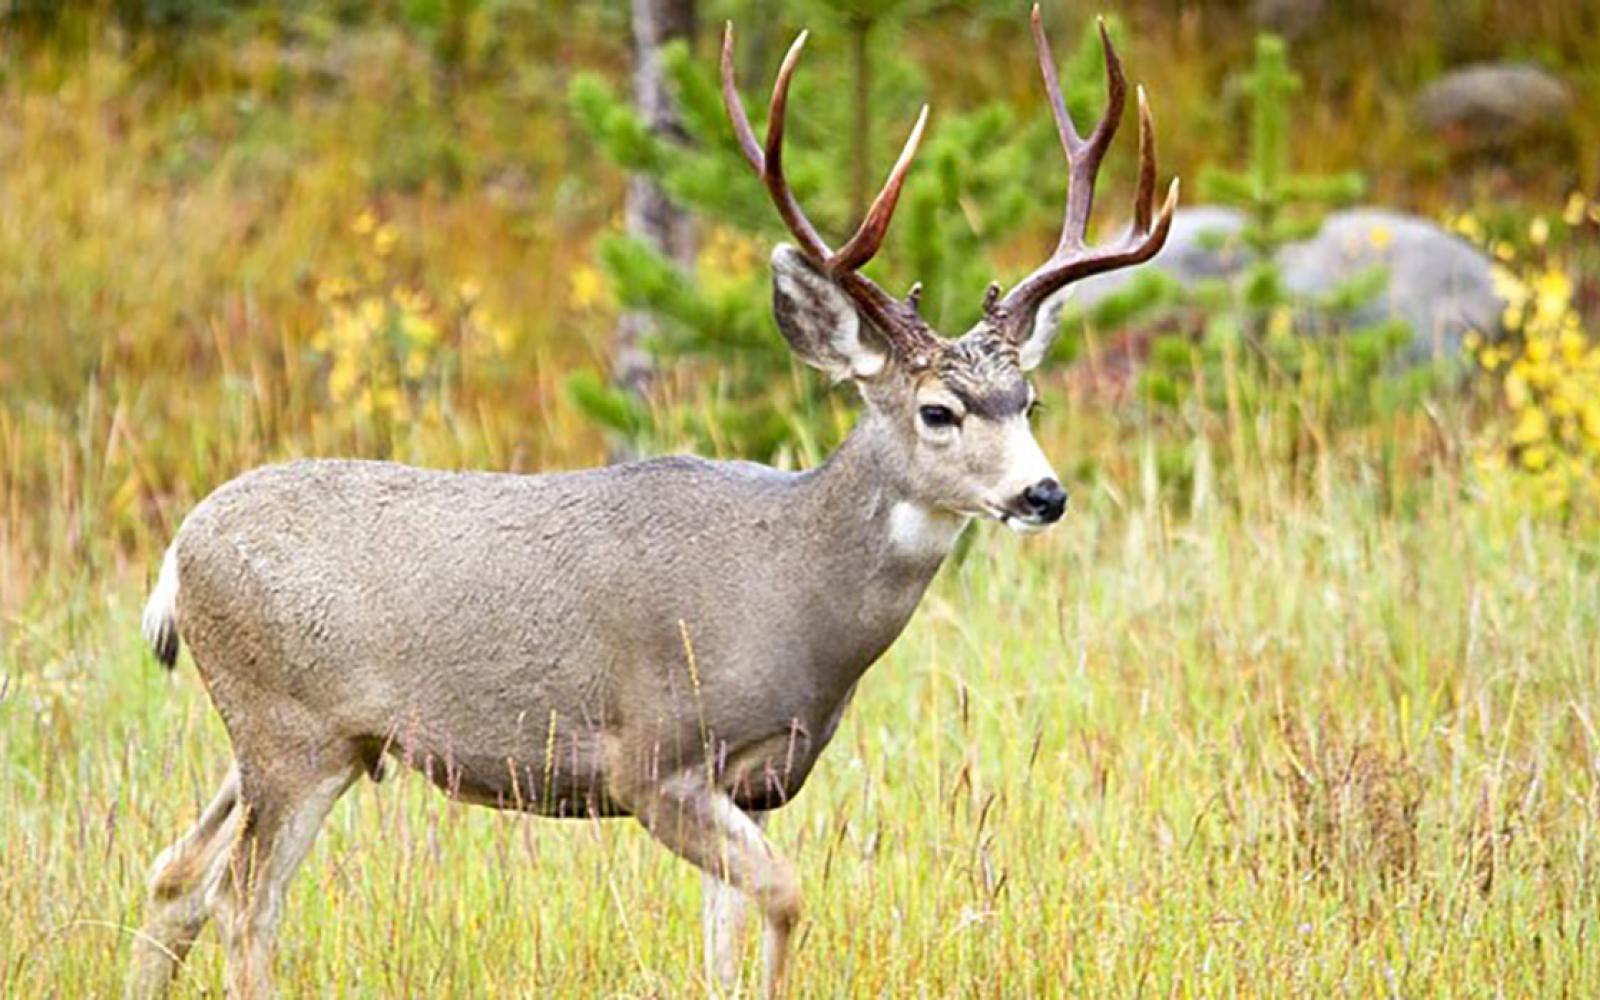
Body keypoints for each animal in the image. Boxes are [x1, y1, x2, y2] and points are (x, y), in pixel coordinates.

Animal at [128, 8, 1175, 998]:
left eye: (1029, 401)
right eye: (938, 411)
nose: (1044, 493)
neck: (793, 591)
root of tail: (178, 554)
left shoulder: (749, 781)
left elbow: (724, 938)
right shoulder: (653, 759)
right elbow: (787, 895)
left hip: (286, 739)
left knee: (174, 875)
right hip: (290, 729)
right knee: (244, 904)